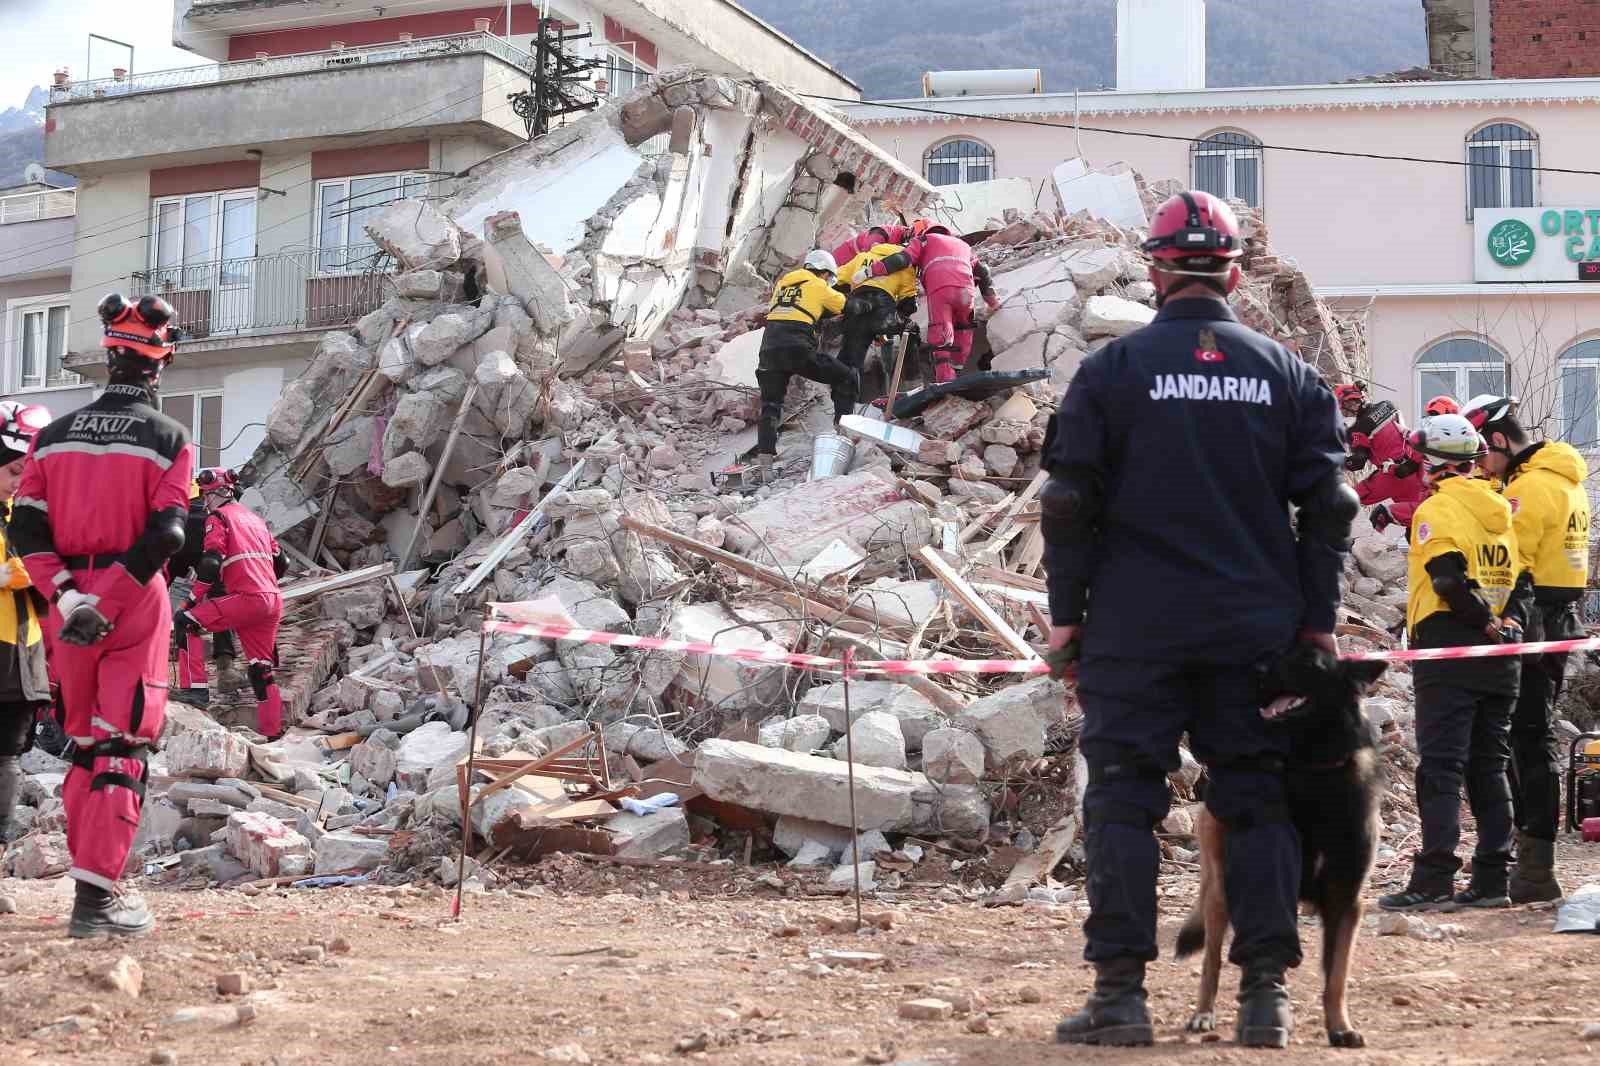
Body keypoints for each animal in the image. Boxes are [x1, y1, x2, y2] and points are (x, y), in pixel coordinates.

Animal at [1177, 643, 1388, 1043]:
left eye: (1307, 660)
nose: (1255, 671)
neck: (1317, 769)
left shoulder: (1345, 900)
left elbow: (1336, 976)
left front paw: (1340, 1028)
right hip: (1220, 893)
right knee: (1212, 960)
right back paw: (1203, 1014)